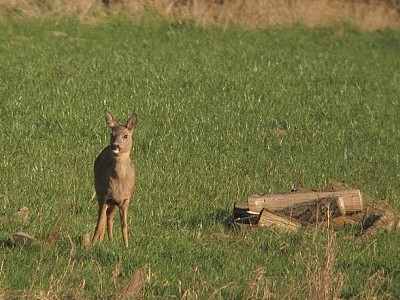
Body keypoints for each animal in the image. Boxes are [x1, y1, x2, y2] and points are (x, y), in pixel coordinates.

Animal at [92, 111, 138, 247]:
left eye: (125, 136)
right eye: (111, 134)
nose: (115, 145)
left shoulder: (126, 199)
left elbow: (124, 225)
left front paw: (126, 246)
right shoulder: (105, 196)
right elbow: (98, 224)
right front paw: (92, 244)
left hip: (113, 203)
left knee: (110, 216)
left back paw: (110, 240)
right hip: (99, 192)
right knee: (105, 218)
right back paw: (101, 240)